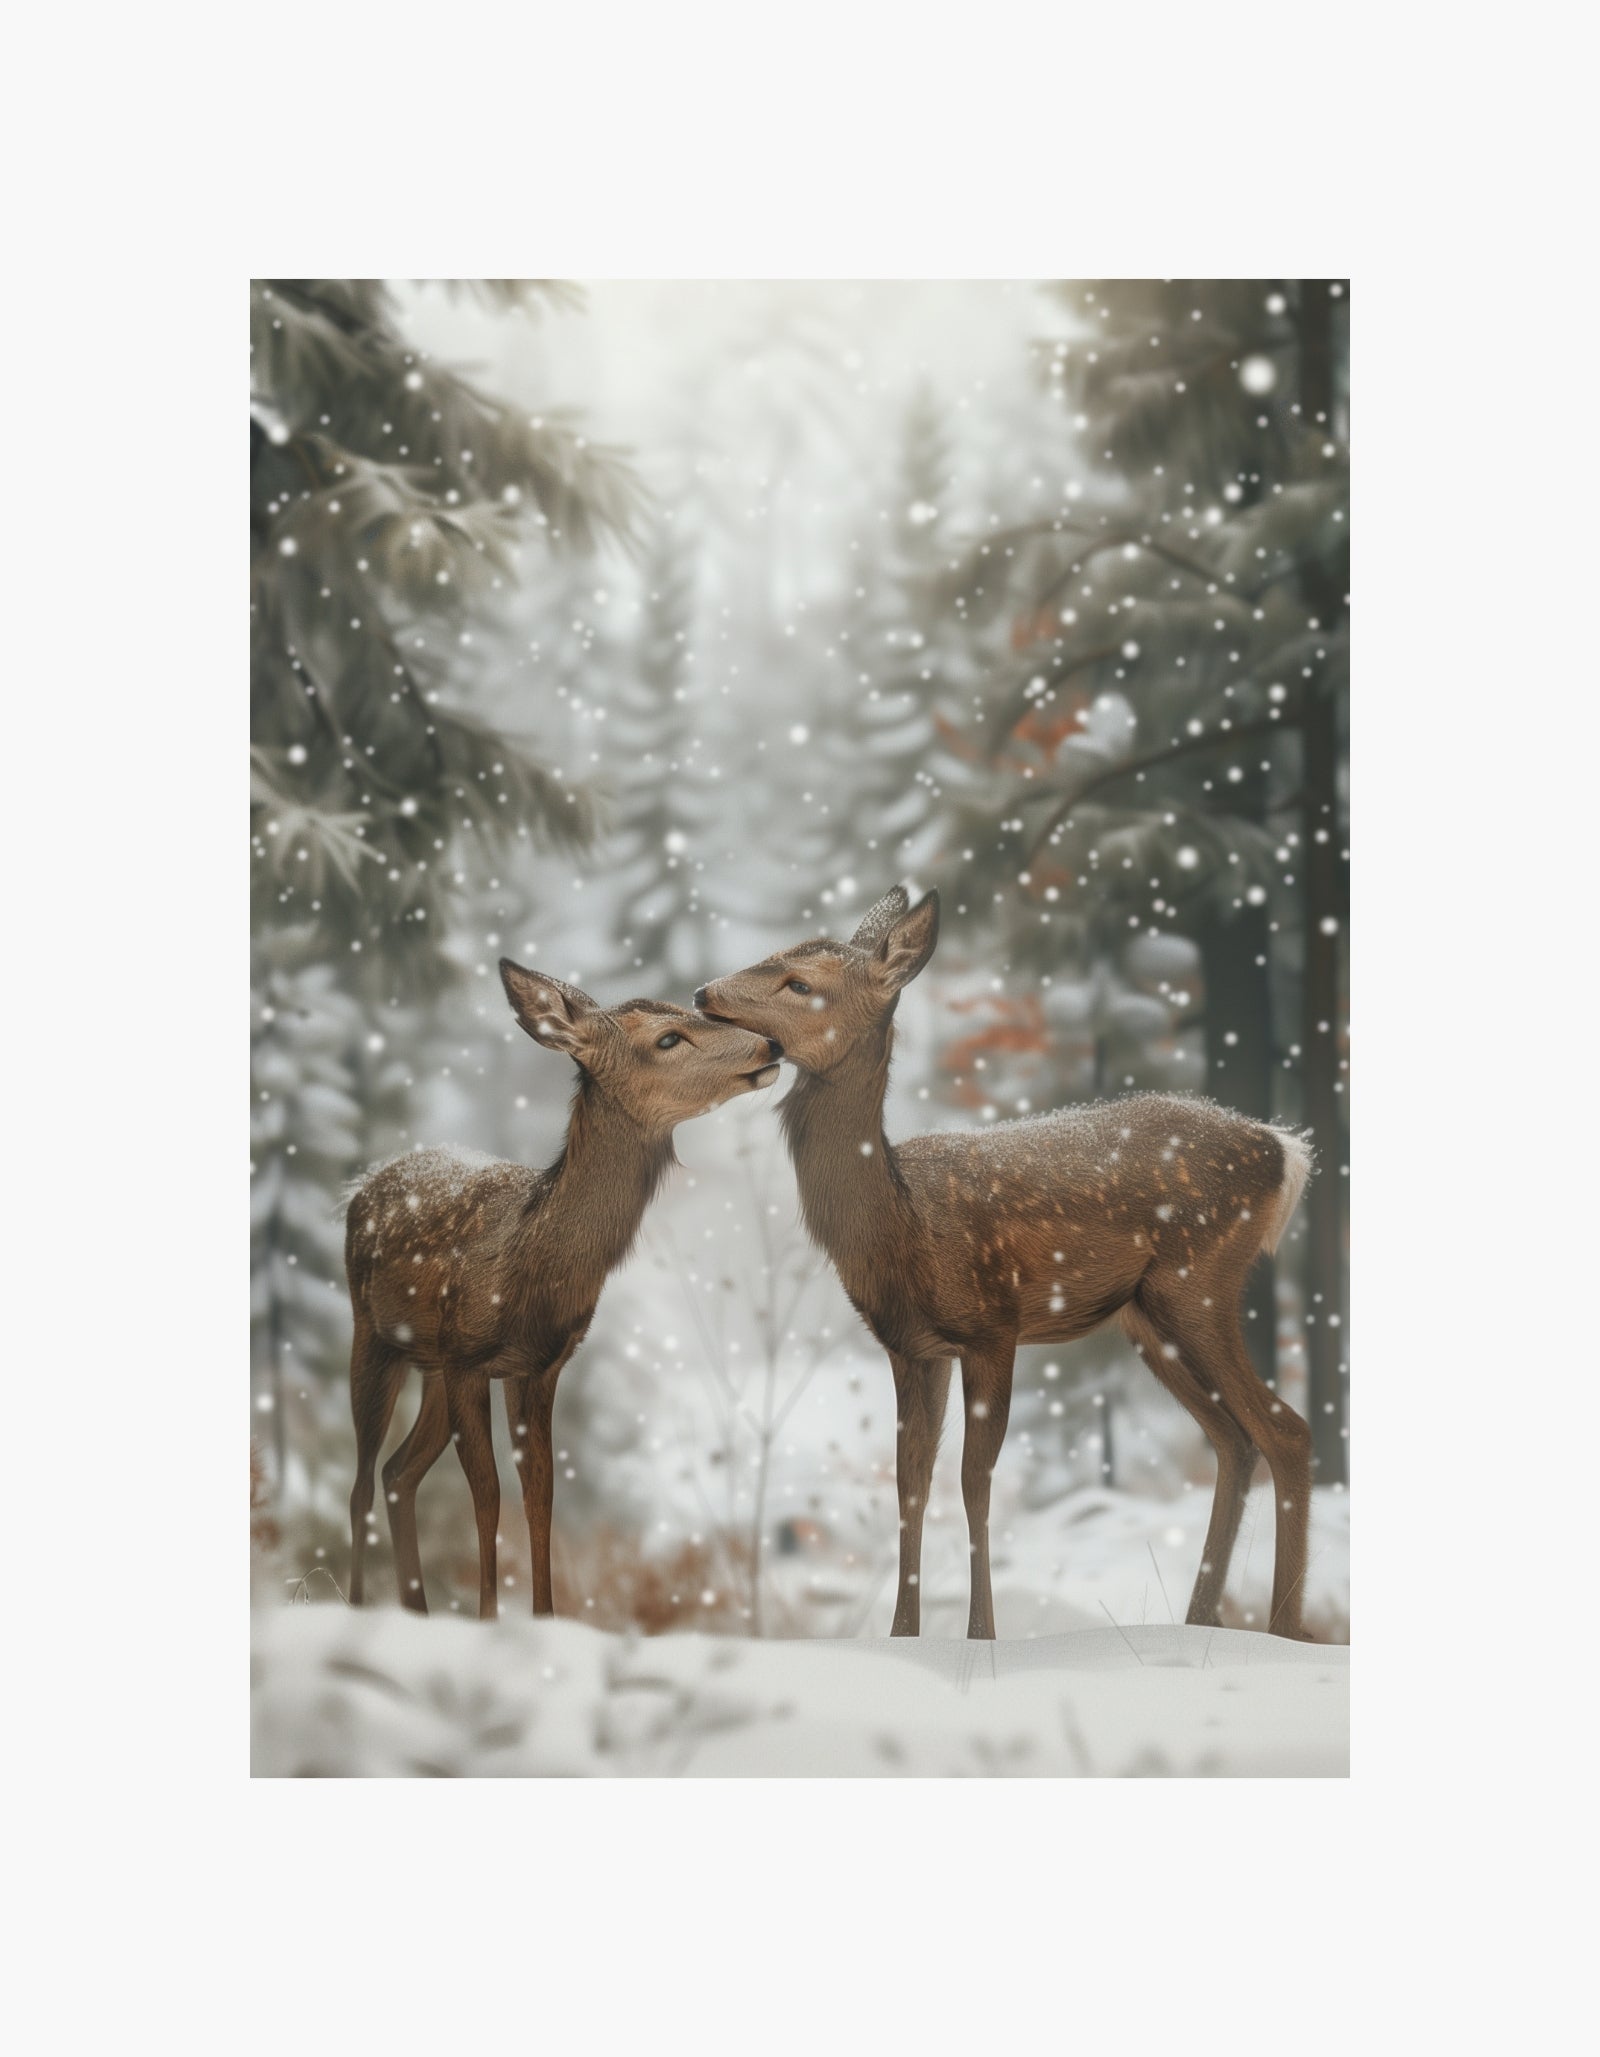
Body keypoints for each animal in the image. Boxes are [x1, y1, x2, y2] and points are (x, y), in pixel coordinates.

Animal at [345, 962, 782, 1620]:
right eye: (668, 1038)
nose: (772, 1044)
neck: (530, 1268)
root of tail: (363, 1186)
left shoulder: (539, 1366)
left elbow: (540, 1497)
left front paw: (546, 1618)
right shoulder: (469, 1358)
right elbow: (488, 1494)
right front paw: (489, 1620)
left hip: (430, 1366)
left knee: (399, 1473)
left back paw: (416, 1611)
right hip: (372, 1334)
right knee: (362, 1482)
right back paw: (356, 1605)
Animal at [695, 885, 1317, 1641]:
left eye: (802, 984)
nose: (703, 994)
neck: (904, 1225)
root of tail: (1286, 1151)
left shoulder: (993, 1326)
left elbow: (974, 1479)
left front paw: (980, 1635)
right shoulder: (912, 1347)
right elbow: (911, 1481)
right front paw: (903, 1636)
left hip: (1199, 1281)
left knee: (1284, 1429)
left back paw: (1284, 1632)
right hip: (1148, 1315)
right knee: (1233, 1439)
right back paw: (1201, 1624)